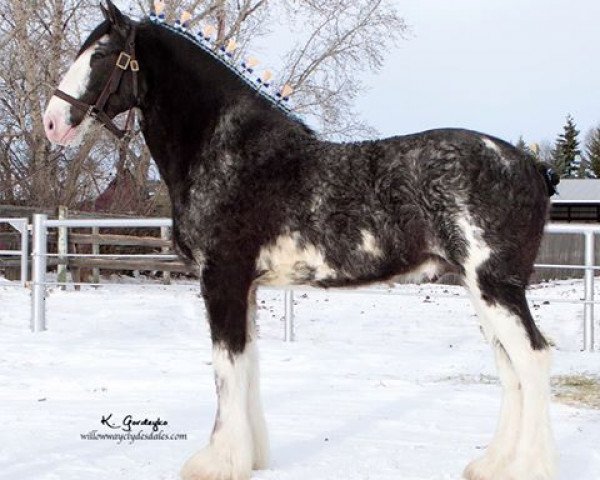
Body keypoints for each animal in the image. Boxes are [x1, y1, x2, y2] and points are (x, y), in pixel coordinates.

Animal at [44, 1, 560, 478]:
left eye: (101, 54)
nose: (52, 121)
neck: (228, 150)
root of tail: (530, 165)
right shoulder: (246, 287)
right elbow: (247, 364)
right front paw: (250, 457)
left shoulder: (221, 279)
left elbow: (225, 368)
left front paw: (218, 462)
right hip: (481, 290)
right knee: (510, 368)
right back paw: (492, 464)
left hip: (496, 286)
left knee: (532, 360)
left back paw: (527, 466)